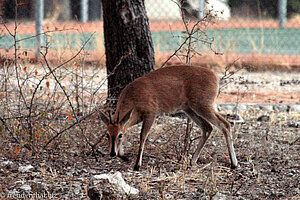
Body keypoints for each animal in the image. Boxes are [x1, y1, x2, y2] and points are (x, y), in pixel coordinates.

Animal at [99, 65, 238, 171]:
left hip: (203, 106)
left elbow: (142, 136)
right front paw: (123, 155)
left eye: (120, 135)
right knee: (207, 127)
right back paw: (192, 161)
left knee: (225, 124)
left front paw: (137, 165)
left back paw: (234, 164)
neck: (134, 95)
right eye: (107, 134)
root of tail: (214, 77)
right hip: (189, 109)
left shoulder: (151, 114)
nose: (112, 153)